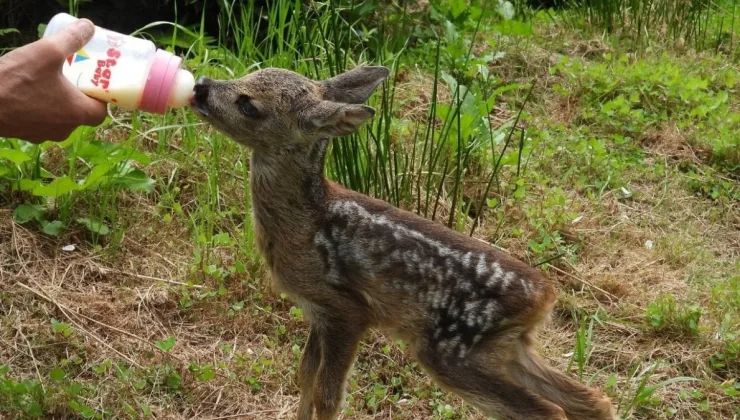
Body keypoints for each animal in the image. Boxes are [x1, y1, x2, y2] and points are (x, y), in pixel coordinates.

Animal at [189, 65, 612, 420]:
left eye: (249, 105)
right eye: (246, 74)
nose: (200, 87)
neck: (305, 223)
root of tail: (545, 297)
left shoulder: (347, 309)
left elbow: (328, 396)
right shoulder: (318, 312)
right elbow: (304, 377)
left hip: (452, 350)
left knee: (550, 411)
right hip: (506, 348)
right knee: (591, 399)